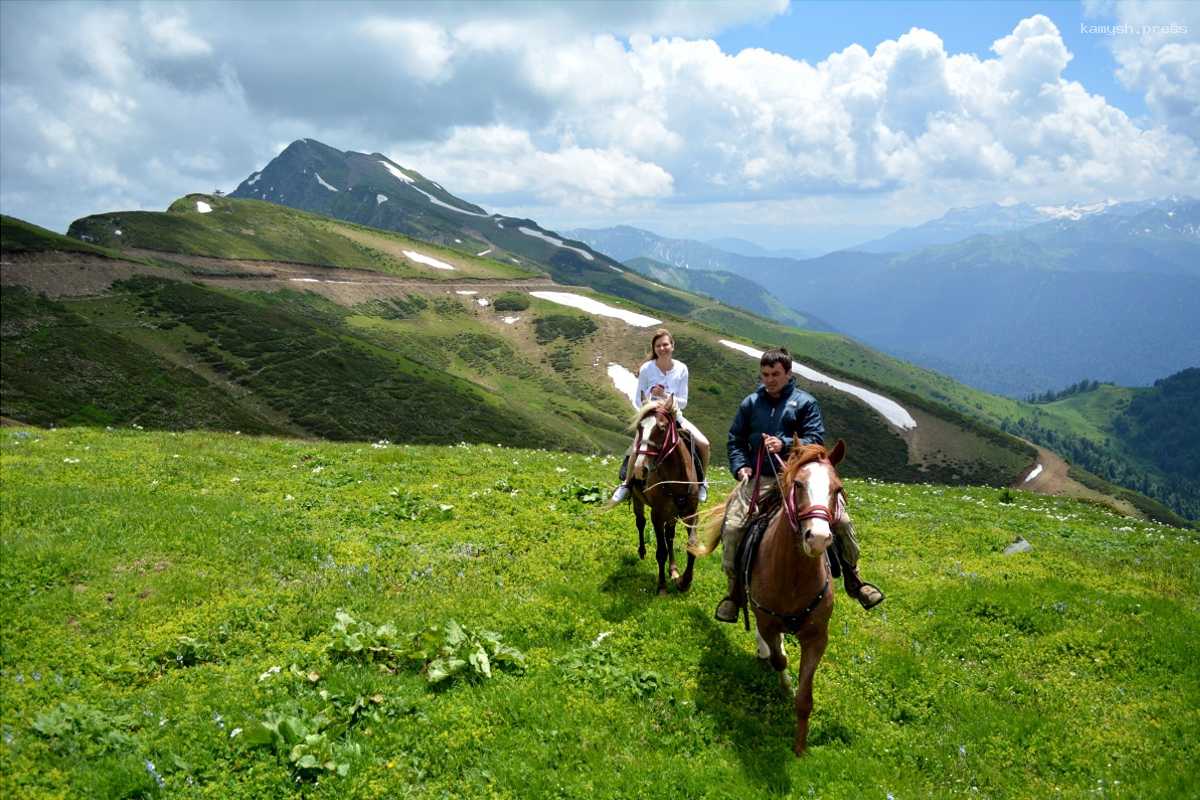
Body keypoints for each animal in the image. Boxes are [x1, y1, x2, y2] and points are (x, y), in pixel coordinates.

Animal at [628, 398, 700, 594]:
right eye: (639, 428)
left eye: (662, 428)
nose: (640, 469)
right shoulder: (657, 515)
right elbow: (661, 552)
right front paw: (661, 586)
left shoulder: (691, 513)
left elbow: (691, 545)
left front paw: (685, 581)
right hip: (638, 501)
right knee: (640, 523)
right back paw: (642, 551)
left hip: (673, 513)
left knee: (670, 536)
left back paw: (673, 570)